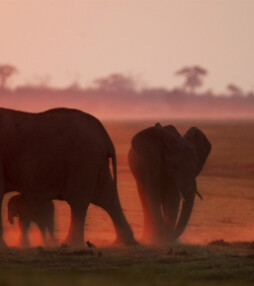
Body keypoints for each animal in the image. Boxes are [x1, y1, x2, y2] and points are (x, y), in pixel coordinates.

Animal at [0, 107, 137, 248]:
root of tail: (105, 137)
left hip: (84, 161)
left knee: (79, 203)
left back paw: (70, 244)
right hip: (96, 163)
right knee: (107, 198)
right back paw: (126, 242)